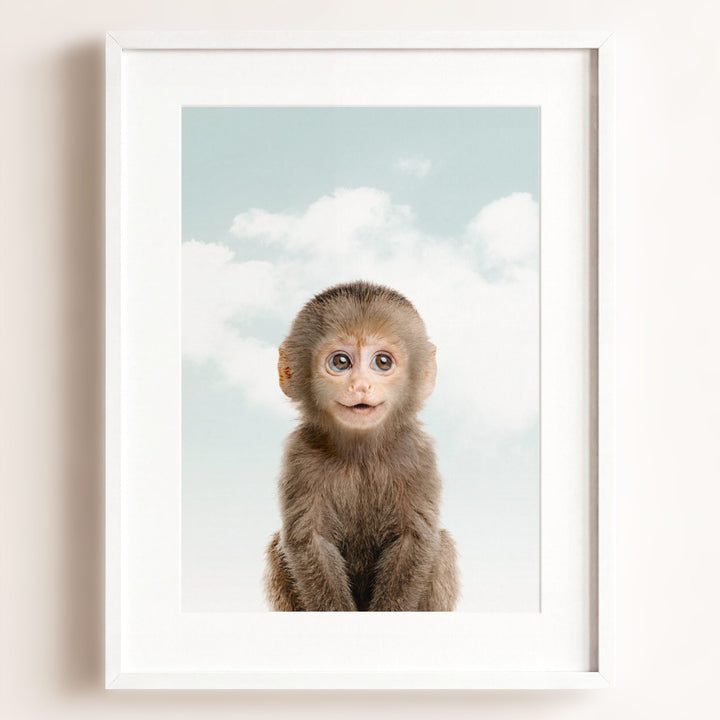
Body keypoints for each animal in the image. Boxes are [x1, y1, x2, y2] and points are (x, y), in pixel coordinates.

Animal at [264, 281, 458, 611]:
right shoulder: (300, 455)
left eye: (382, 362)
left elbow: (415, 539)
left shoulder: (417, 454)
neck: (361, 454)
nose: (360, 386)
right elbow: (309, 541)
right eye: (341, 362)